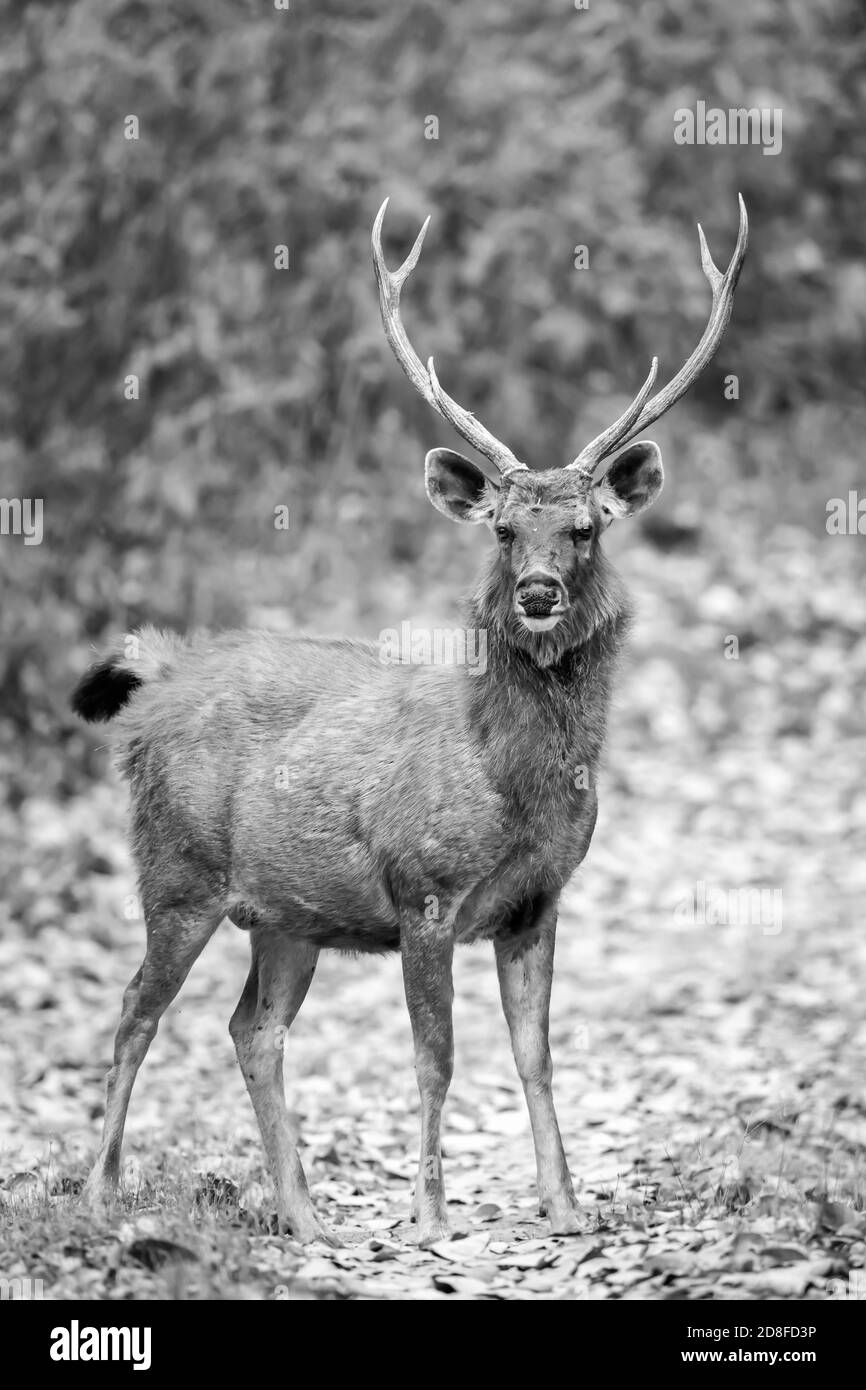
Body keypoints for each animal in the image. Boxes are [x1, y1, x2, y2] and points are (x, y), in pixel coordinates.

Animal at [73, 196, 747, 1246]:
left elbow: (535, 1055)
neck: (511, 784)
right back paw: (103, 1195)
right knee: (137, 1012)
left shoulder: (539, 901)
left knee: (251, 1029)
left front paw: (565, 1206)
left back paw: (304, 1214)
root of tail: (155, 681)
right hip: (176, 867)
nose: (540, 592)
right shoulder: (422, 889)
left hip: (286, 914)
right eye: (503, 530)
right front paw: (430, 1212)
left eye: (585, 526)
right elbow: (438, 1057)